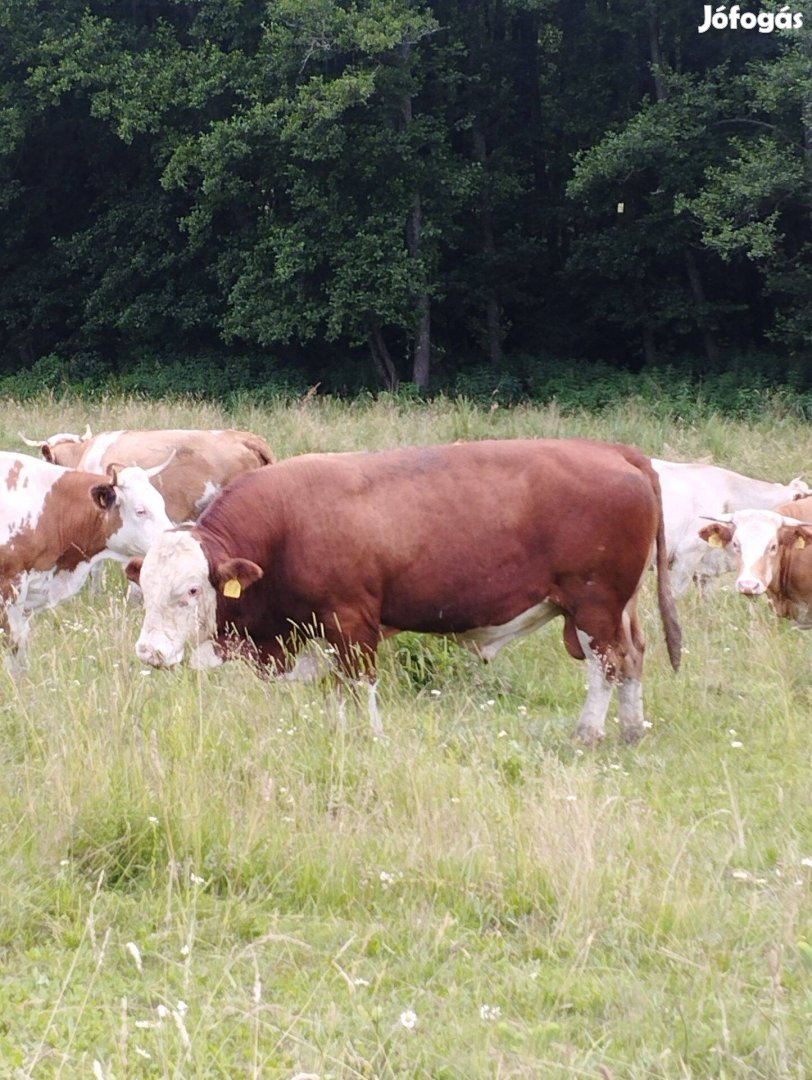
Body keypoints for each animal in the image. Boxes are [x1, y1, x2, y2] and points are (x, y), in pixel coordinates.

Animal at [126, 436, 682, 743]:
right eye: (145, 589)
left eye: (192, 590)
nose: (149, 652)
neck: (286, 526)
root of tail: (614, 451)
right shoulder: (315, 632)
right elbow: (332, 687)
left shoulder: (352, 620)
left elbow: (361, 684)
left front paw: (369, 736)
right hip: (619, 607)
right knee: (634, 656)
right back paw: (631, 731)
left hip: (594, 605)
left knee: (606, 665)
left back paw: (588, 733)